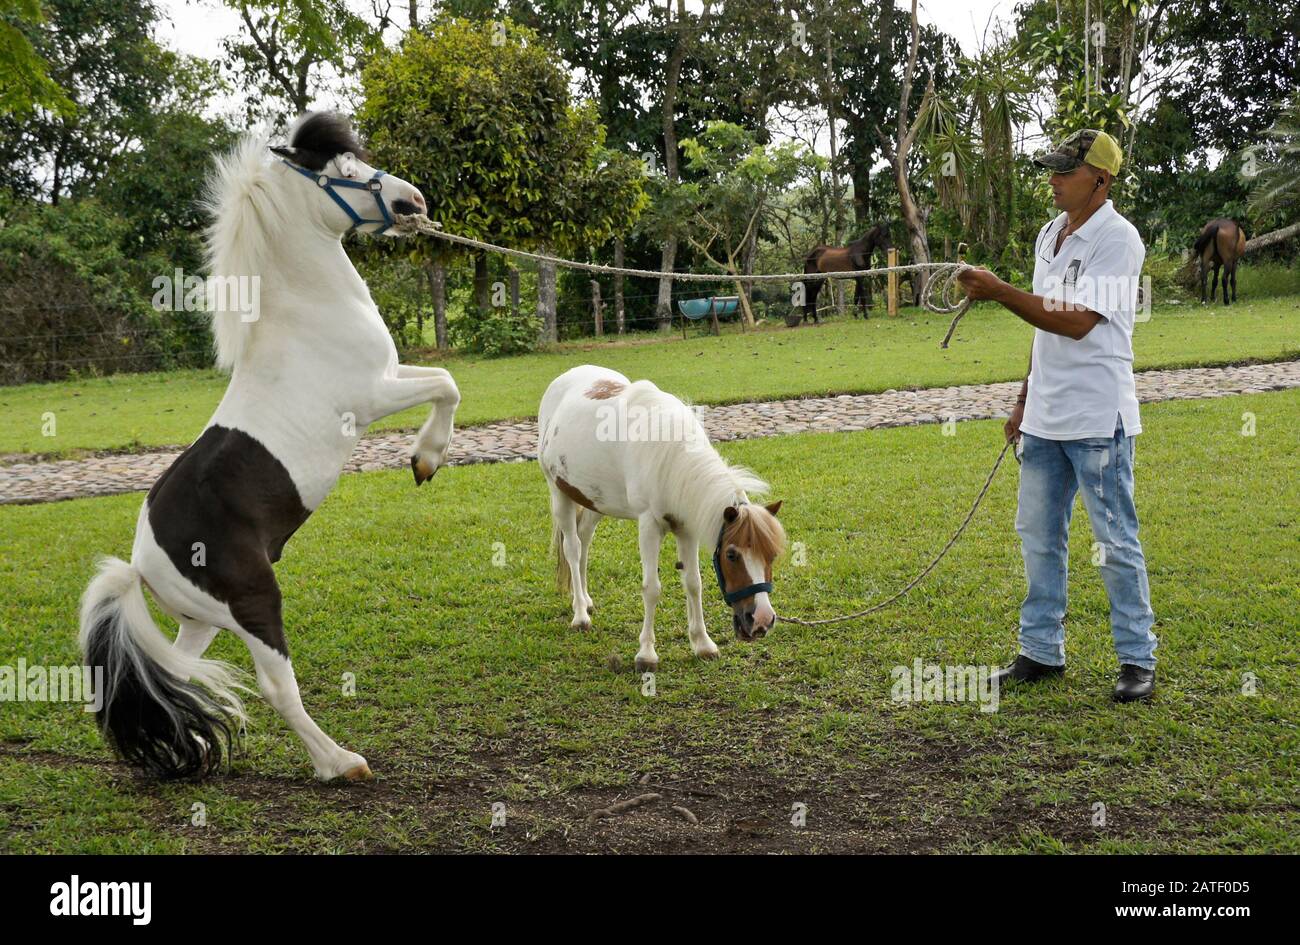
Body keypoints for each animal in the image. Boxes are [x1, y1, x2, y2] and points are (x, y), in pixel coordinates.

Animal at [78, 112, 462, 782]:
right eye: (343, 170)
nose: (412, 203)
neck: (307, 312)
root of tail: (142, 563)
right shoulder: (372, 396)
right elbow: (447, 383)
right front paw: (426, 459)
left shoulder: (389, 377)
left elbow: (446, 380)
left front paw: (426, 459)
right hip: (256, 603)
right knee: (276, 686)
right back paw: (340, 762)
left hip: (202, 621)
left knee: (179, 673)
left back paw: (195, 745)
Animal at [537, 365, 785, 672]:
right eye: (731, 555)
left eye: (772, 555)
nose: (761, 620)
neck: (669, 456)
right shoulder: (649, 526)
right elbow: (652, 588)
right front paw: (646, 653)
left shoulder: (686, 528)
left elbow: (693, 583)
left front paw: (703, 644)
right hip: (559, 493)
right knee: (572, 548)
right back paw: (581, 614)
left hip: (595, 501)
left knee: (584, 543)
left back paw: (584, 598)